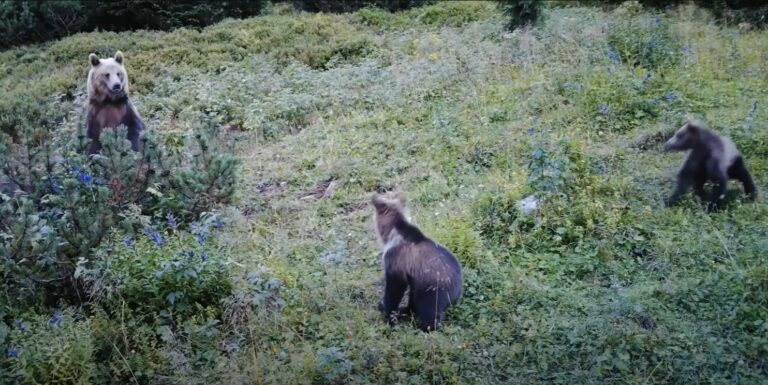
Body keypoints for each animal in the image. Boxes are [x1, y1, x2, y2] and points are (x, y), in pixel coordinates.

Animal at [372, 192, 462, 330]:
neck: (393, 234)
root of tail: (457, 293)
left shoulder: (396, 263)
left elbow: (394, 290)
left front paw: (388, 314)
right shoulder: (411, 275)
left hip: (432, 289)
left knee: (430, 311)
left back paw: (422, 327)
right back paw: (406, 311)